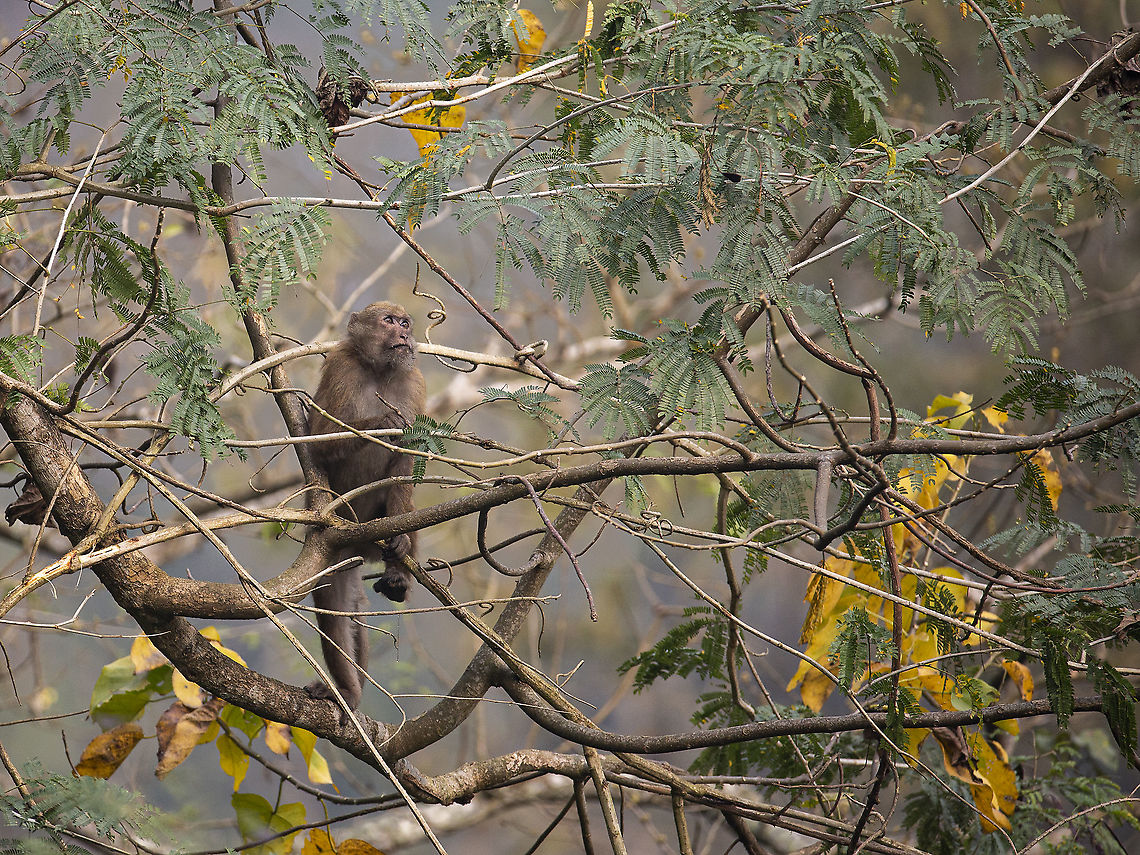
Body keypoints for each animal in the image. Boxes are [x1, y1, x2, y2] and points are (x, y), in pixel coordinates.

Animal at [306, 301, 426, 709]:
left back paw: (398, 572)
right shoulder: (341, 367)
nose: (403, 333)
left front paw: (402, 544)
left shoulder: (413, 381)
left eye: (405, 322)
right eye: (388, 321)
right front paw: (383, 420)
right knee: (334, 606)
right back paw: (346, 690)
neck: (378, 371)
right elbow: (319, 440)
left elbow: (406, 464)